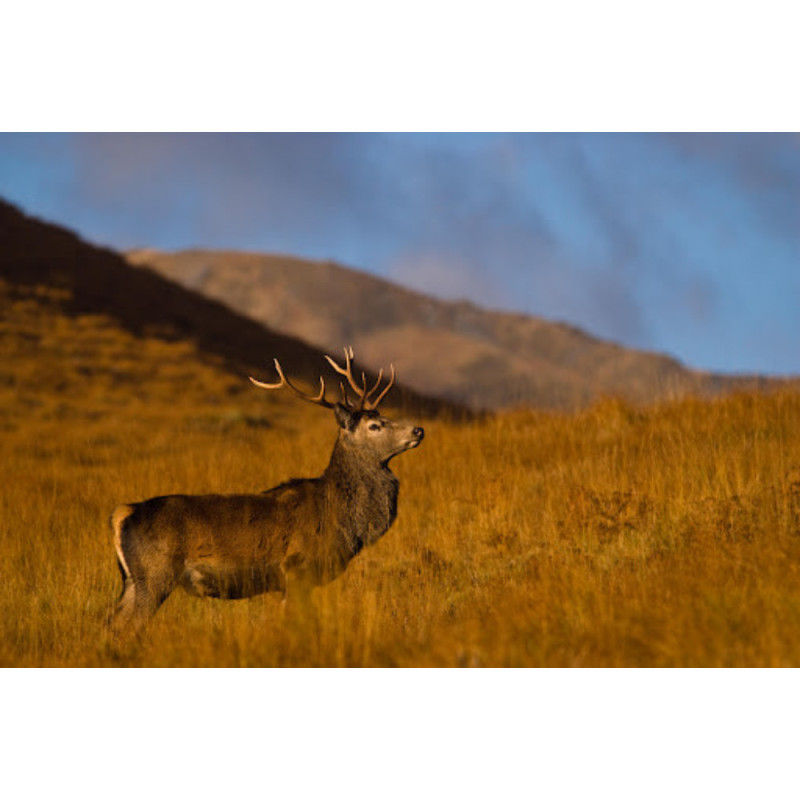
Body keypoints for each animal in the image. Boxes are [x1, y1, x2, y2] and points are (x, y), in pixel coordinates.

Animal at [109, 348, 424, 634]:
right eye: (375, 425)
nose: (418, 430)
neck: (343, 519)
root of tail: (123, 514)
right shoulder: (297, 568)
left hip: (133, 580)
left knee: (111, 622)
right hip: (155, 574)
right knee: (127, 627)